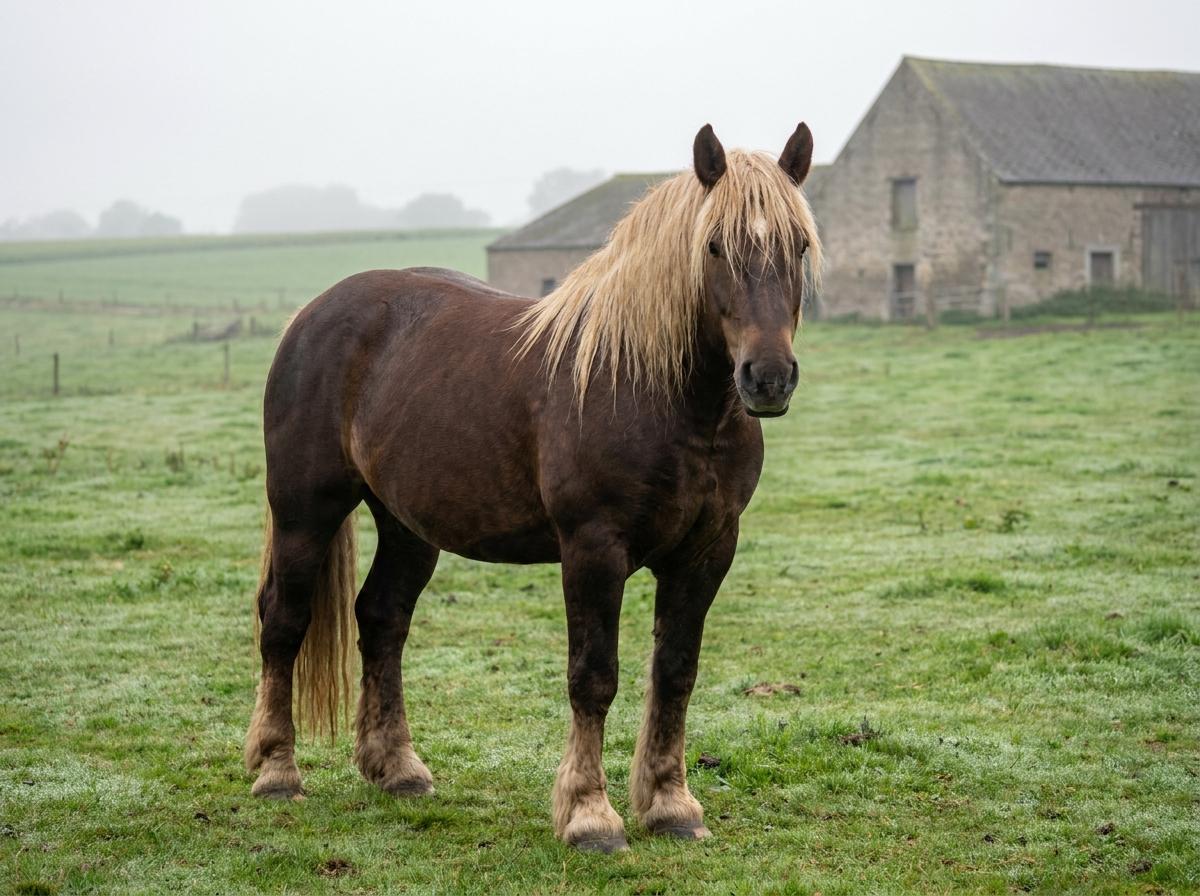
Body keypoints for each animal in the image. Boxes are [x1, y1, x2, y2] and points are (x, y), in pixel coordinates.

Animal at [244, 122, 822, 853]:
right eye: (714, 245)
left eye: (797, 245)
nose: (768, 378)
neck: (655, 390)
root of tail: (314, 313)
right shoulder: (593, 550)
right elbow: (593, 678)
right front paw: (589, 816)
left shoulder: (707, 550)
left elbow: (675, 674)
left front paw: (671, 807)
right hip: (305, 510)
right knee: (283, 622)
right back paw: (276, 772)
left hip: (407, 525)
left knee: (382, 619)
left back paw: (397, 770)